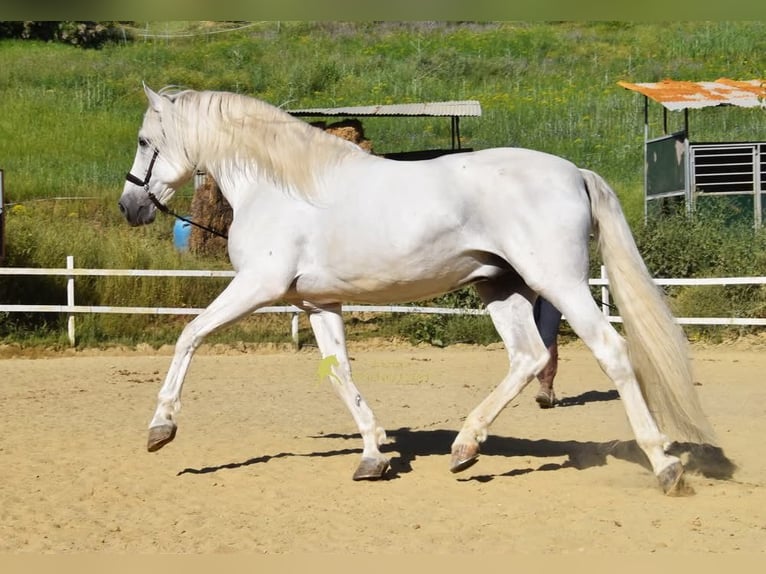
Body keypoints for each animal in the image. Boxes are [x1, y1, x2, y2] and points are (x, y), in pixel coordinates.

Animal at [119, 84, 718, 495]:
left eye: (146, 141)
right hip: (501, 289)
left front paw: (160, 427)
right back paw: (465, 446)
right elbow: (340, 375)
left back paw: (665, 465)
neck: (279, 188)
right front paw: (372, 456)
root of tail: (574, 172)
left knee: (610, 353)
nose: (130, 206)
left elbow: (190, 336)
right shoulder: (318, 302)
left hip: (560, 283)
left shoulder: (256, 286)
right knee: (528, 356)